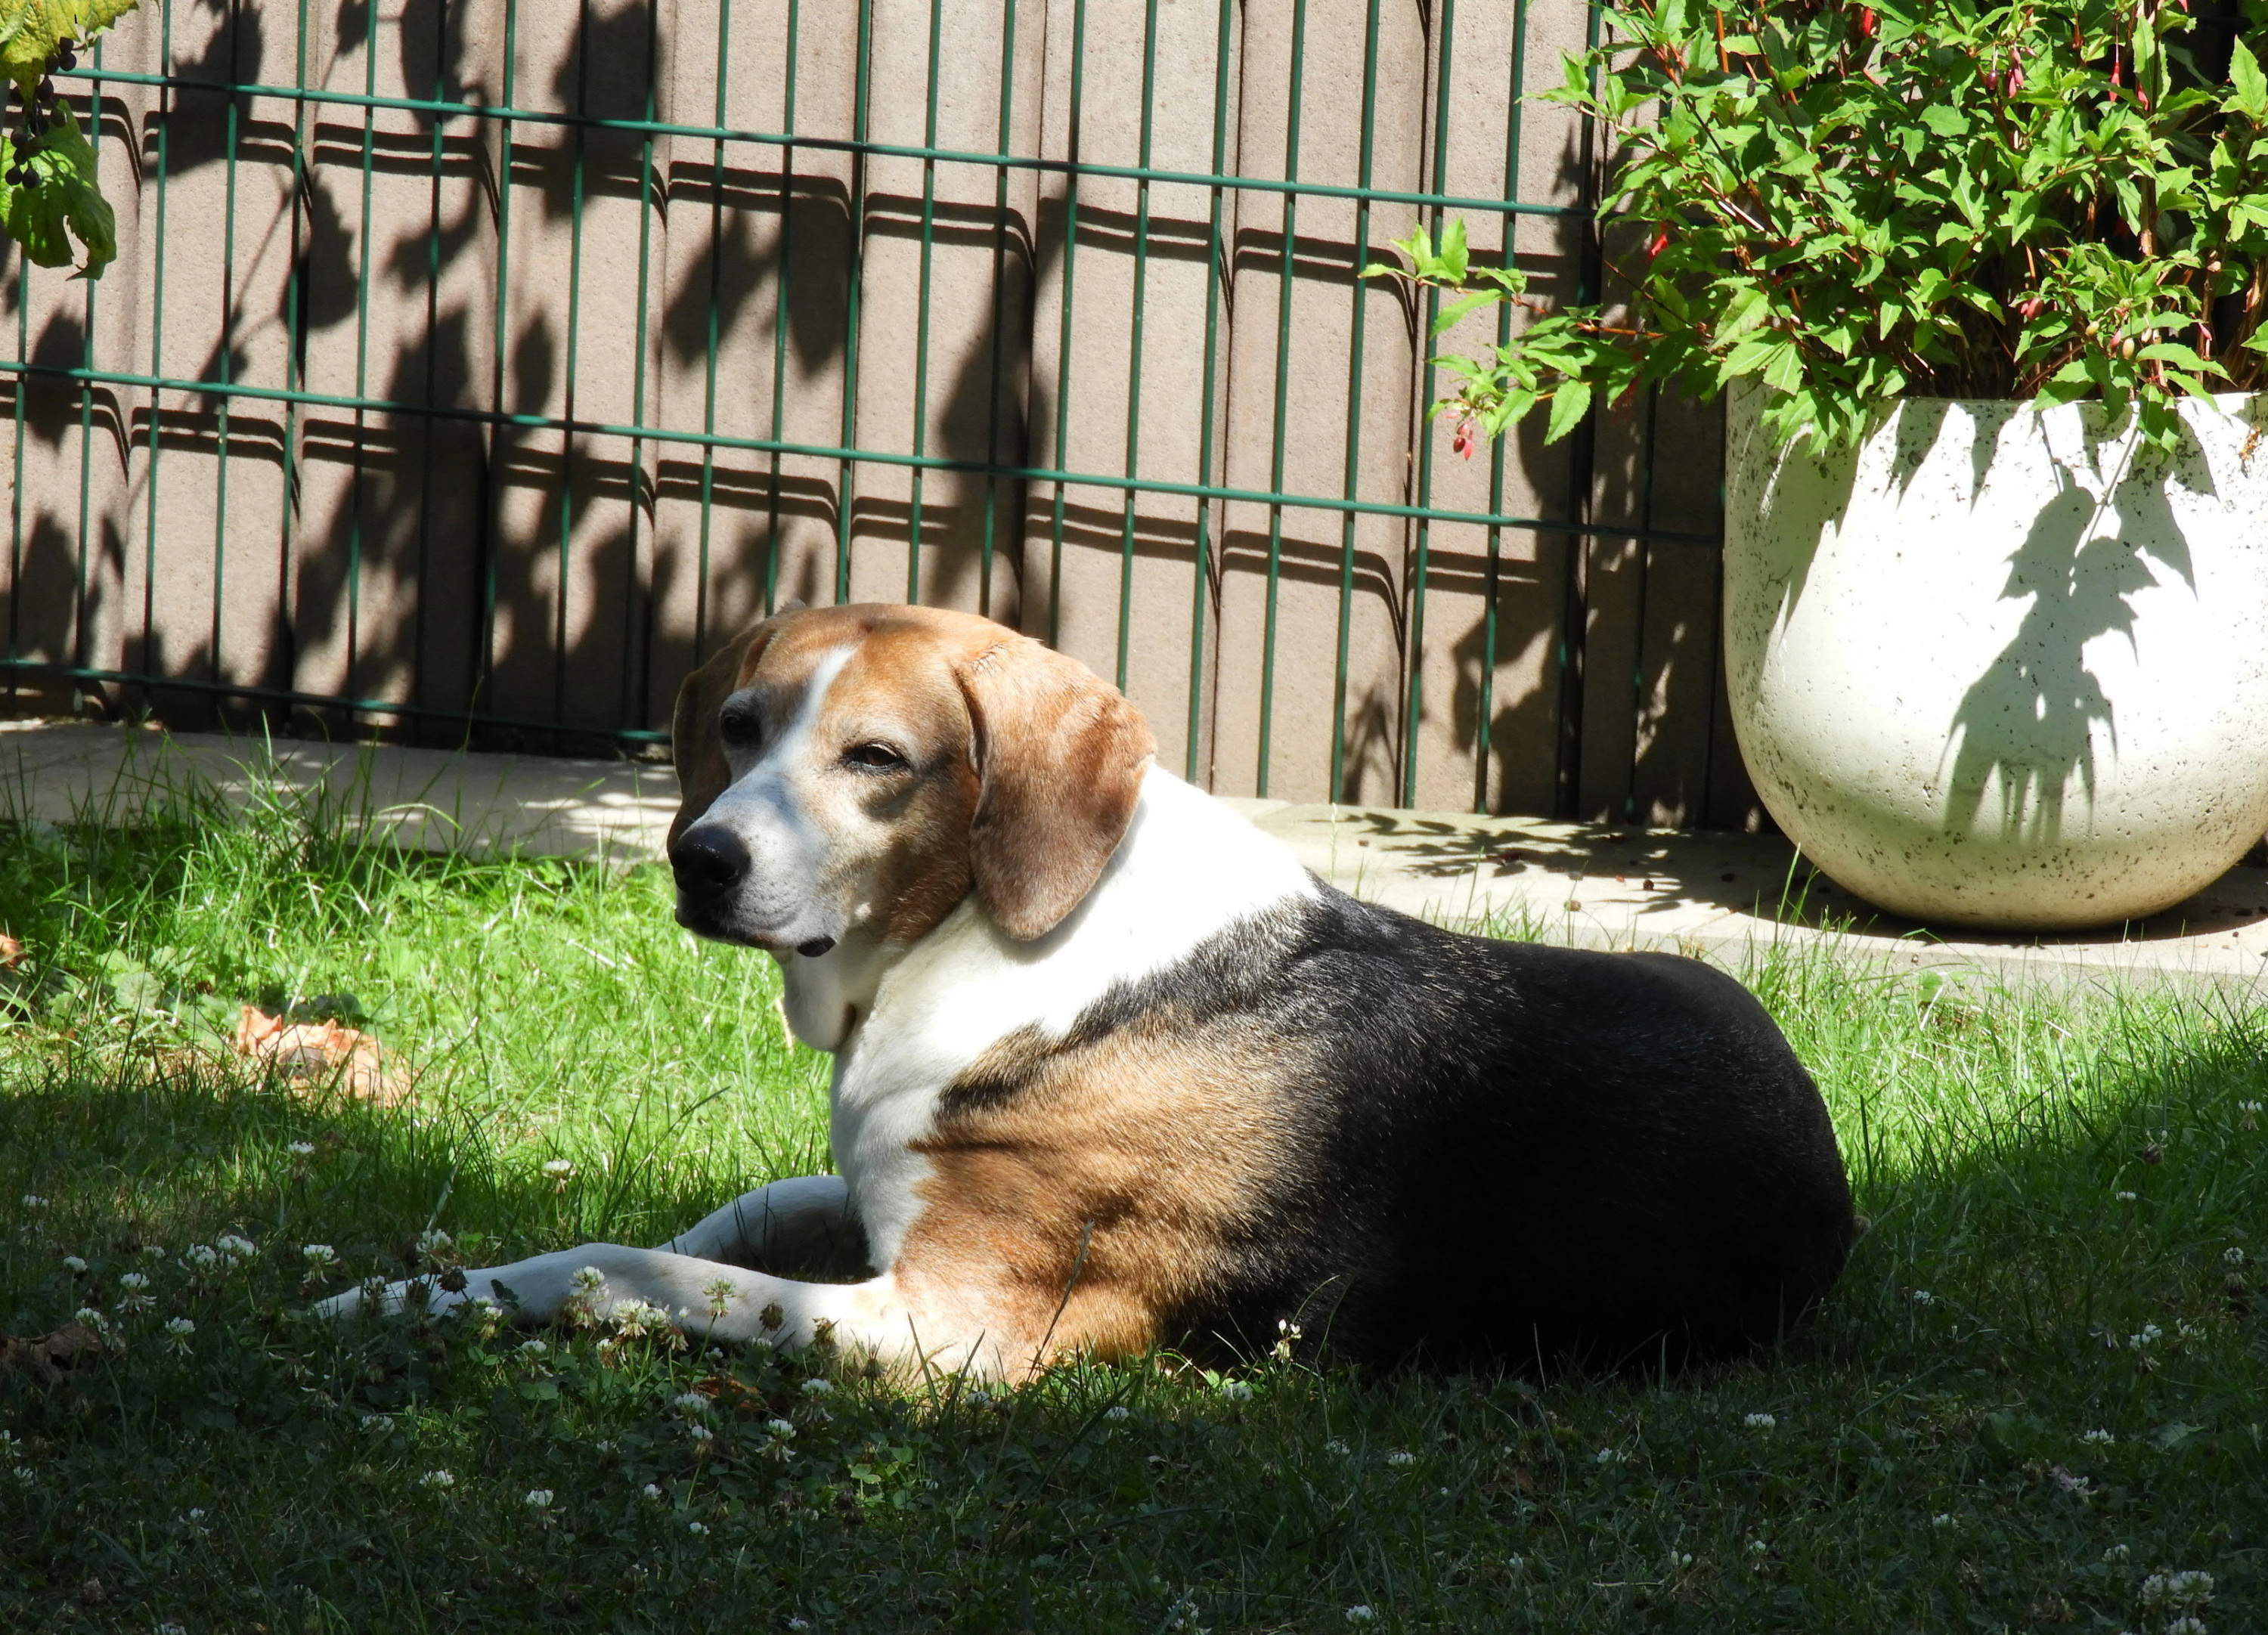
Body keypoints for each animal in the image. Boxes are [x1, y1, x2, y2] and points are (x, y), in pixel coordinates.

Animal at [329, 608, 1851, 1370]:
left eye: (878, 758)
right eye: (741, 727)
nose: (698, 858)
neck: (966, 945)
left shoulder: (954, 1326)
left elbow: (629, 1264)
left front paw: (460, 1296)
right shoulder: (880, 1193)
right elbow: (729, 1208)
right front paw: (416, 1270)